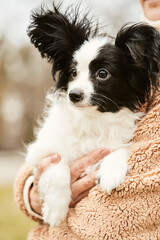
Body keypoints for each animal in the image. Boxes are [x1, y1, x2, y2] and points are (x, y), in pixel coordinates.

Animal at [26, 2, 160, 226]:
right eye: (73, 73)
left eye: (102, 74)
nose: (74, 95)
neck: (93, 118)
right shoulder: (41, 153)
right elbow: (59, 163)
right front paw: (55, 209)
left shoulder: (117, 142)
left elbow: (118, 149)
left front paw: (111, 173)